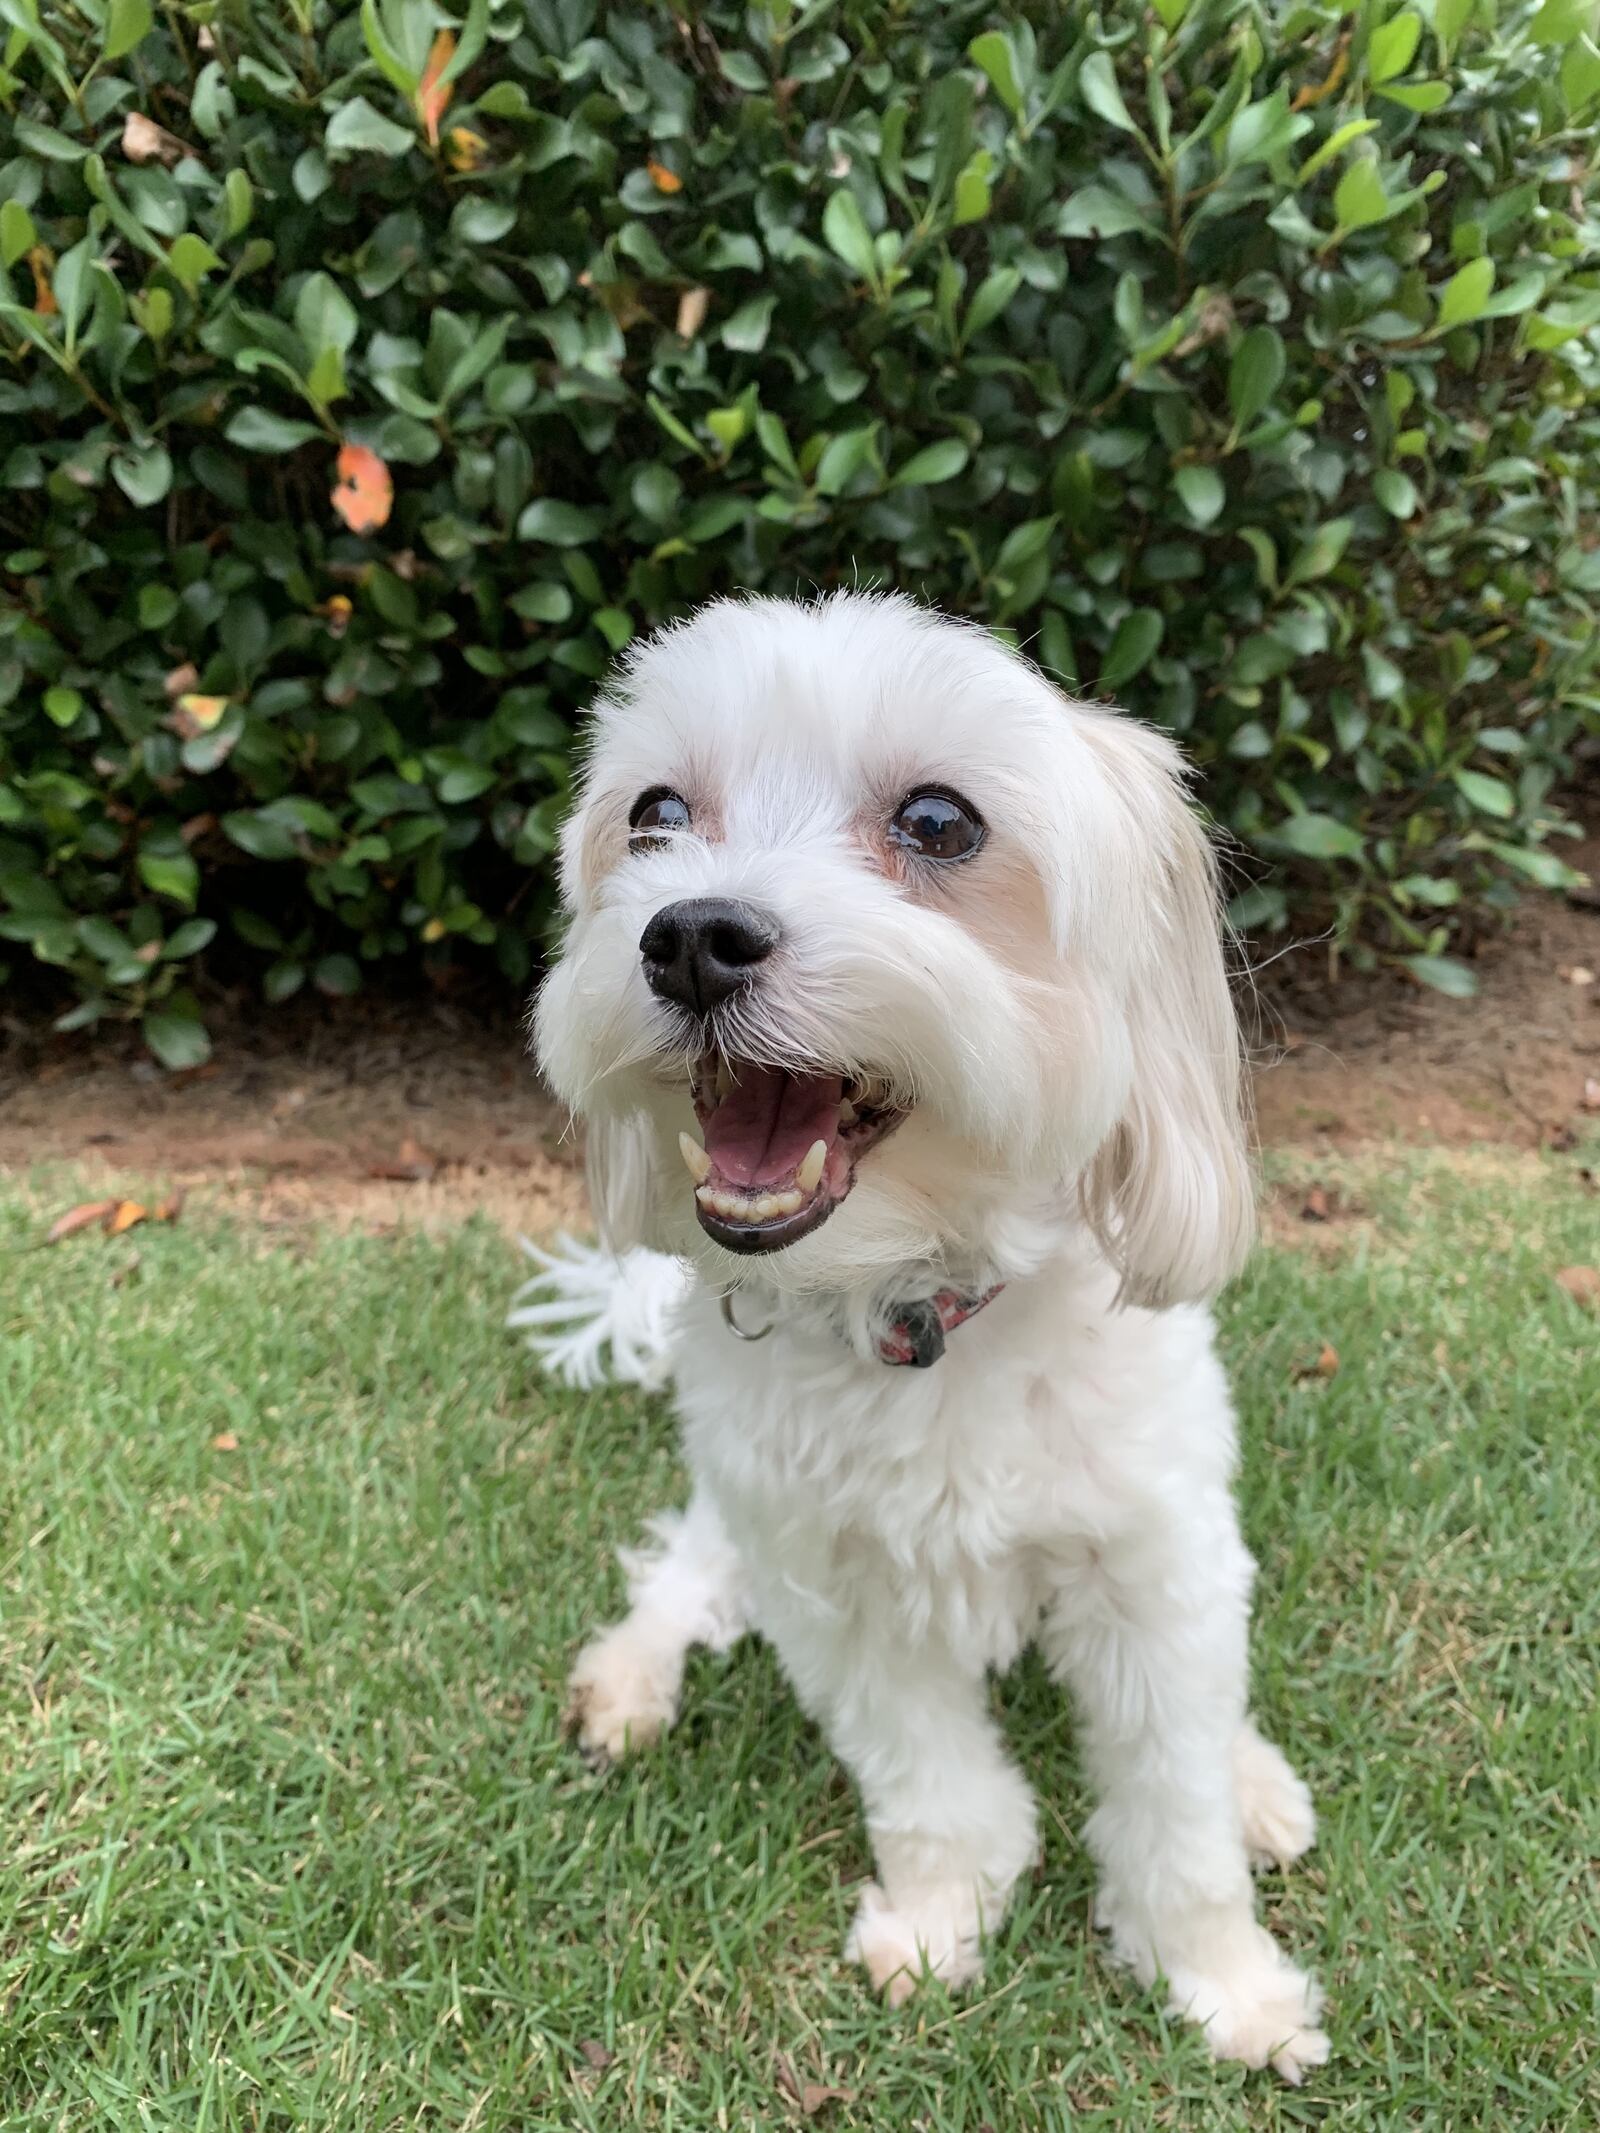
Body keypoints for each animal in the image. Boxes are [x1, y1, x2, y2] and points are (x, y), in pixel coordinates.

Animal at [520, 597, 1331, 2081]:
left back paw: (1254, 1780)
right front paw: (942, 1911)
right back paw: (630, 1675)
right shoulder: (830, 1589)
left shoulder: (1152, 1566)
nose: (690, 935)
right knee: (684, 1570)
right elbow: (928, 1777)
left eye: (940, 822)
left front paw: (1224, 1984)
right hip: (734, 1513)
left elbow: (1172, 1806)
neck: (915, 1310)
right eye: (655, 812)